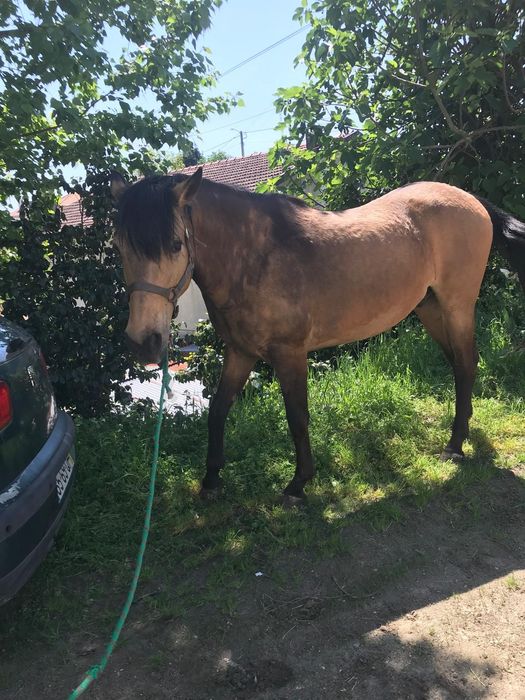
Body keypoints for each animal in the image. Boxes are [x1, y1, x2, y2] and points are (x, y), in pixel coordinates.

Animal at [110, 168, 525, 505]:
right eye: (119, 246)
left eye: (175, 244)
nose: (142, 341)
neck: (254, 257)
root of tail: (471, 200)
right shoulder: (241, 352)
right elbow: (218, 411)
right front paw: (211, 481)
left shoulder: (290, 354)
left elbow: (297, 417)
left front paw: (298, 485)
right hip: (430, 308)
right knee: (458, 365)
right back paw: (462, 432)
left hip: (457, 307)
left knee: (467, 363)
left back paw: (454, 446)